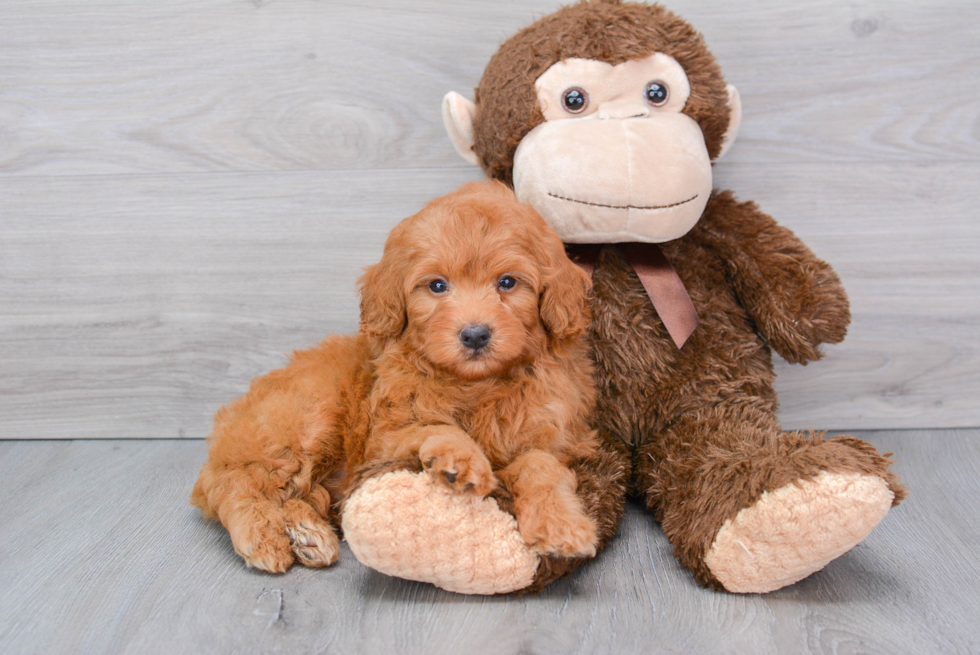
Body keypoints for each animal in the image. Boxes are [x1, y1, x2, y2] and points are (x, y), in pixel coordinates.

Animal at [191, 182, 596, 572]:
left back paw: (307, 535)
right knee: (234, 481)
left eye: (508, 282)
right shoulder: (384, 439)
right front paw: (460, 459)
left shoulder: (550, 435)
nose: (475, 334)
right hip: (306, 416)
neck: (476, 384)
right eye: (437, 286)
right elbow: (435, 427)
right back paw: (261, 536)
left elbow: (541, 467)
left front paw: (561, 525)